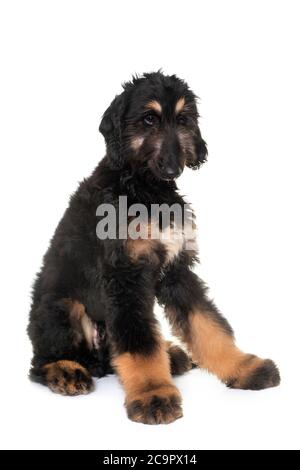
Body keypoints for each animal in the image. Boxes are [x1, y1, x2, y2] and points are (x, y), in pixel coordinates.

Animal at [27, 72, 280, 426]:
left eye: (183, 120)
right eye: (149, 119)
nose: (174, 168)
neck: (144, 188)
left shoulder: (176, 270)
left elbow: (208, 324)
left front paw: (244, 367)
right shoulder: (125, 275)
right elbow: (140, 344)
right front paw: (153, 395)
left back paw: (172, 355)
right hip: (61, 306)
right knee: (41, 362)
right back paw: (66, 372)